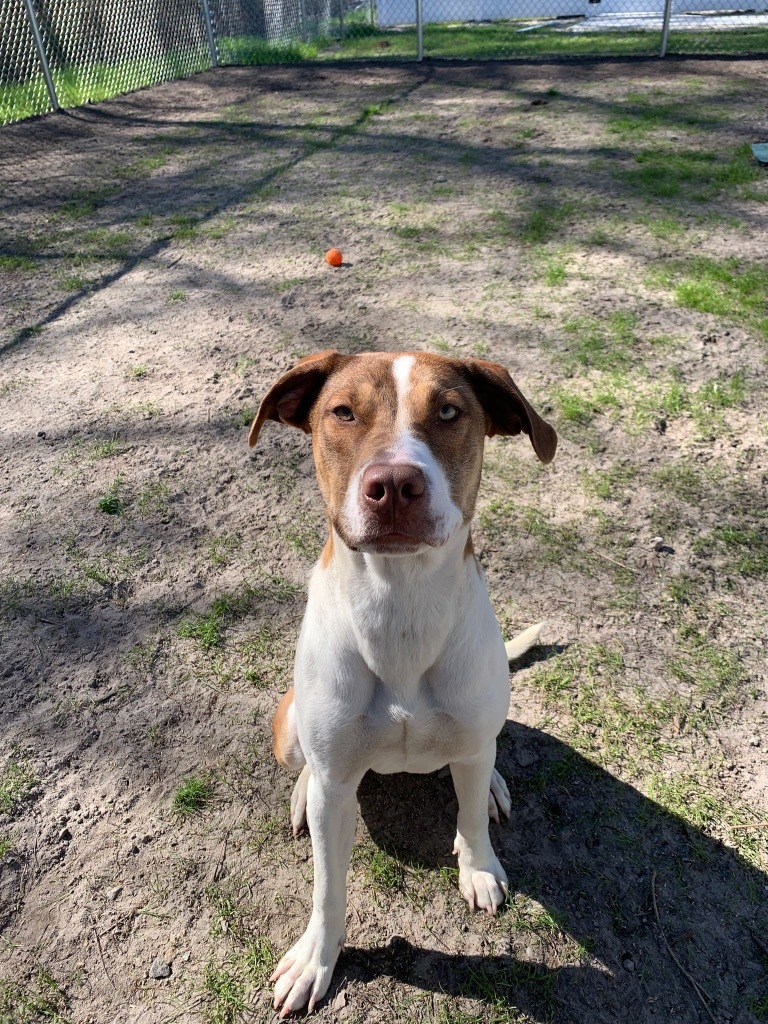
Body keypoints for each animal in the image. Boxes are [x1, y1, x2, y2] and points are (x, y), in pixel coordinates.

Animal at [252, 352, 561, 1015]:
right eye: (343, 412)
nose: (394, 485)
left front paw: (478, 866)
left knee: (482, 759)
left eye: (448, 411)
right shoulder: (335, 777)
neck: (401, 608)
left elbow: (471, 819)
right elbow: (327, 887)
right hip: (290, 727)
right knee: (310, 770)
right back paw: (303, 793)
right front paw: (316, 959)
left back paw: (491, 785)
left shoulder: (470, 735)